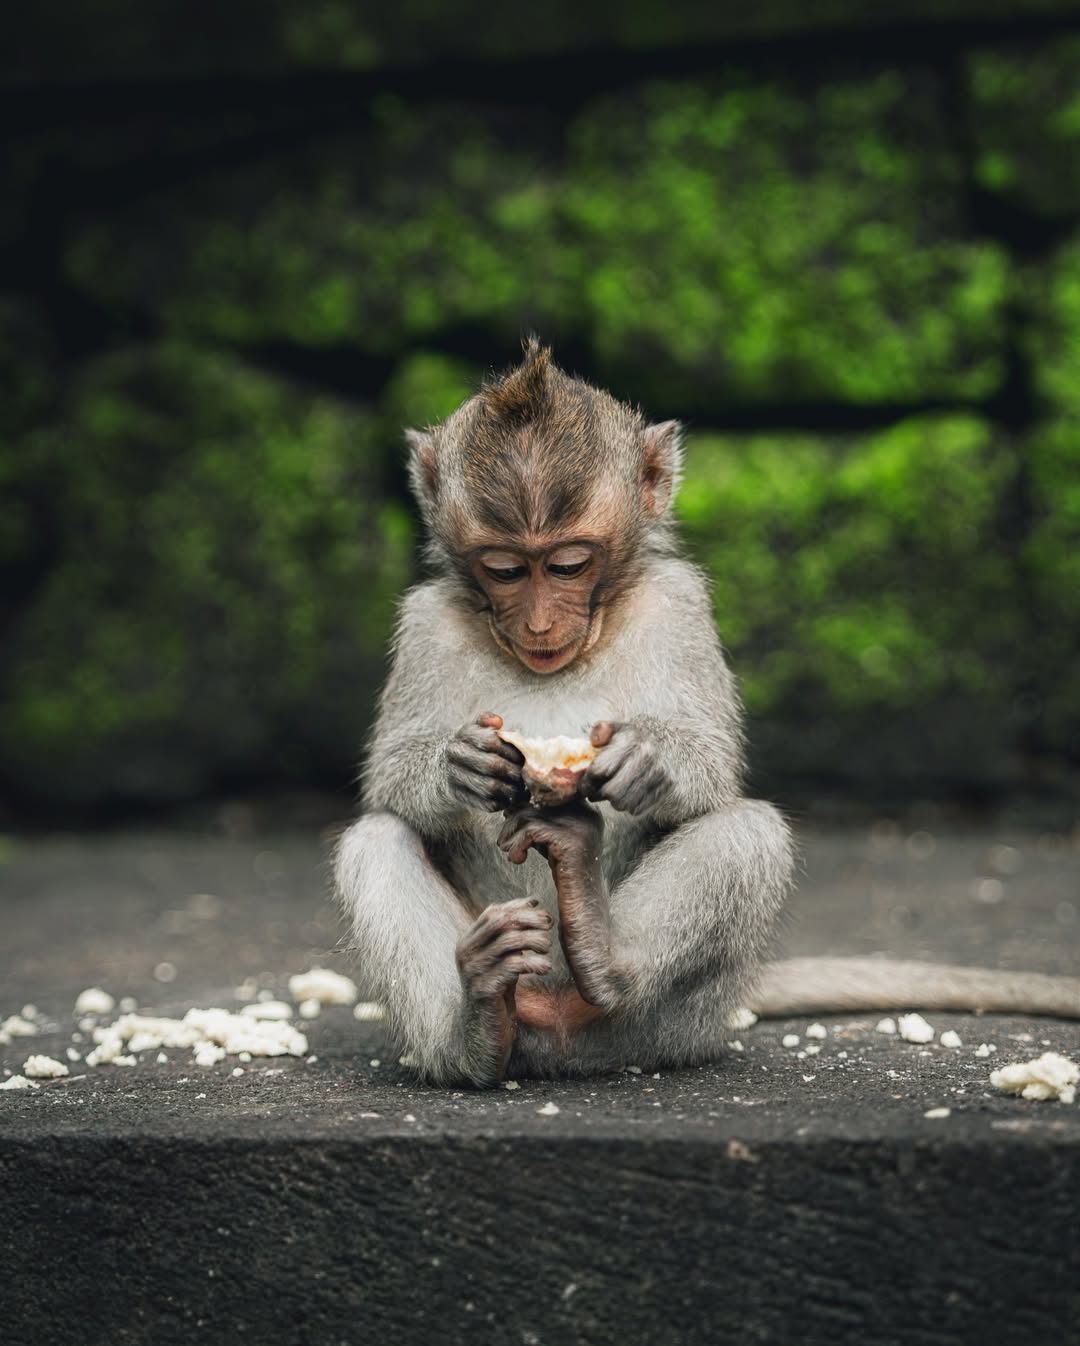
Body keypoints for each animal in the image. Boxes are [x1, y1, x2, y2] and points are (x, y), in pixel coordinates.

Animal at [334, 340, 1080, 1088]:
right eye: (507, 570)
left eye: (569, 565)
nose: (540, 624)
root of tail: (562, 1038)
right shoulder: (426, 620)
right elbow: (389, 775)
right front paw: (459, 764)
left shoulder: (679, 601)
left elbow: (715, 767)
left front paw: (649, 762)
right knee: (377, 839)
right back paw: (479, 1020)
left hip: (669, 1027)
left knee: (746, 832)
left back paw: (601, 945)